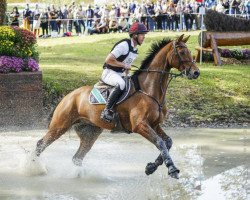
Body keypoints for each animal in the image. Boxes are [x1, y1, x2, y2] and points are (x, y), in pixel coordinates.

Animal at [35, 33, 199, 179]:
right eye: (182, 52)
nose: (196, 73)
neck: (149, 90)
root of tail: (68, 97)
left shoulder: (154, 124)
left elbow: (168, 142)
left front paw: (151, 167)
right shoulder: (140, 125)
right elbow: (160, 142)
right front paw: (172, 169)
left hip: (90, 132)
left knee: (77, 157)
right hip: (60, 126)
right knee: (41, 144)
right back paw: (35, 168)